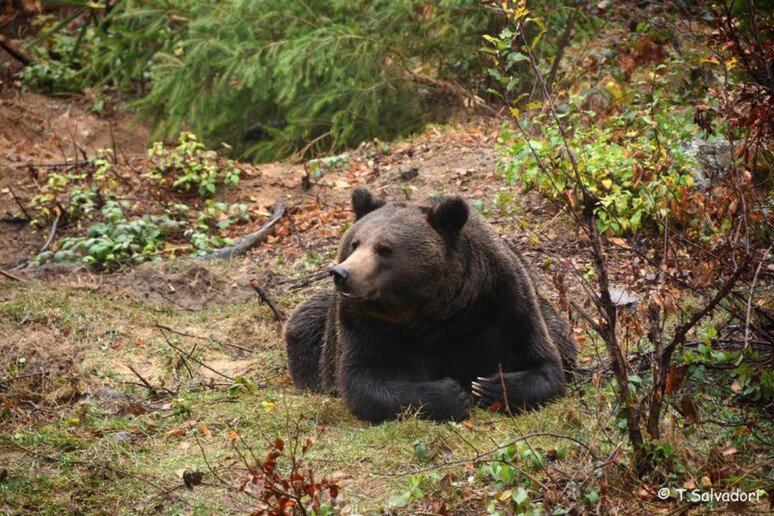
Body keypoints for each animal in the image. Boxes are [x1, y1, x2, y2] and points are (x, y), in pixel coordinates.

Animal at [284, 187, 576, 422]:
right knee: (303, 324)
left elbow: (544, 364)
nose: (342, 273)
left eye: (384, 248)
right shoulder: (364, 325)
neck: (430, 312)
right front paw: (452, 394)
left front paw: (488, 386)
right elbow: (364, 380)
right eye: (354, 243)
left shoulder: (500, 303)